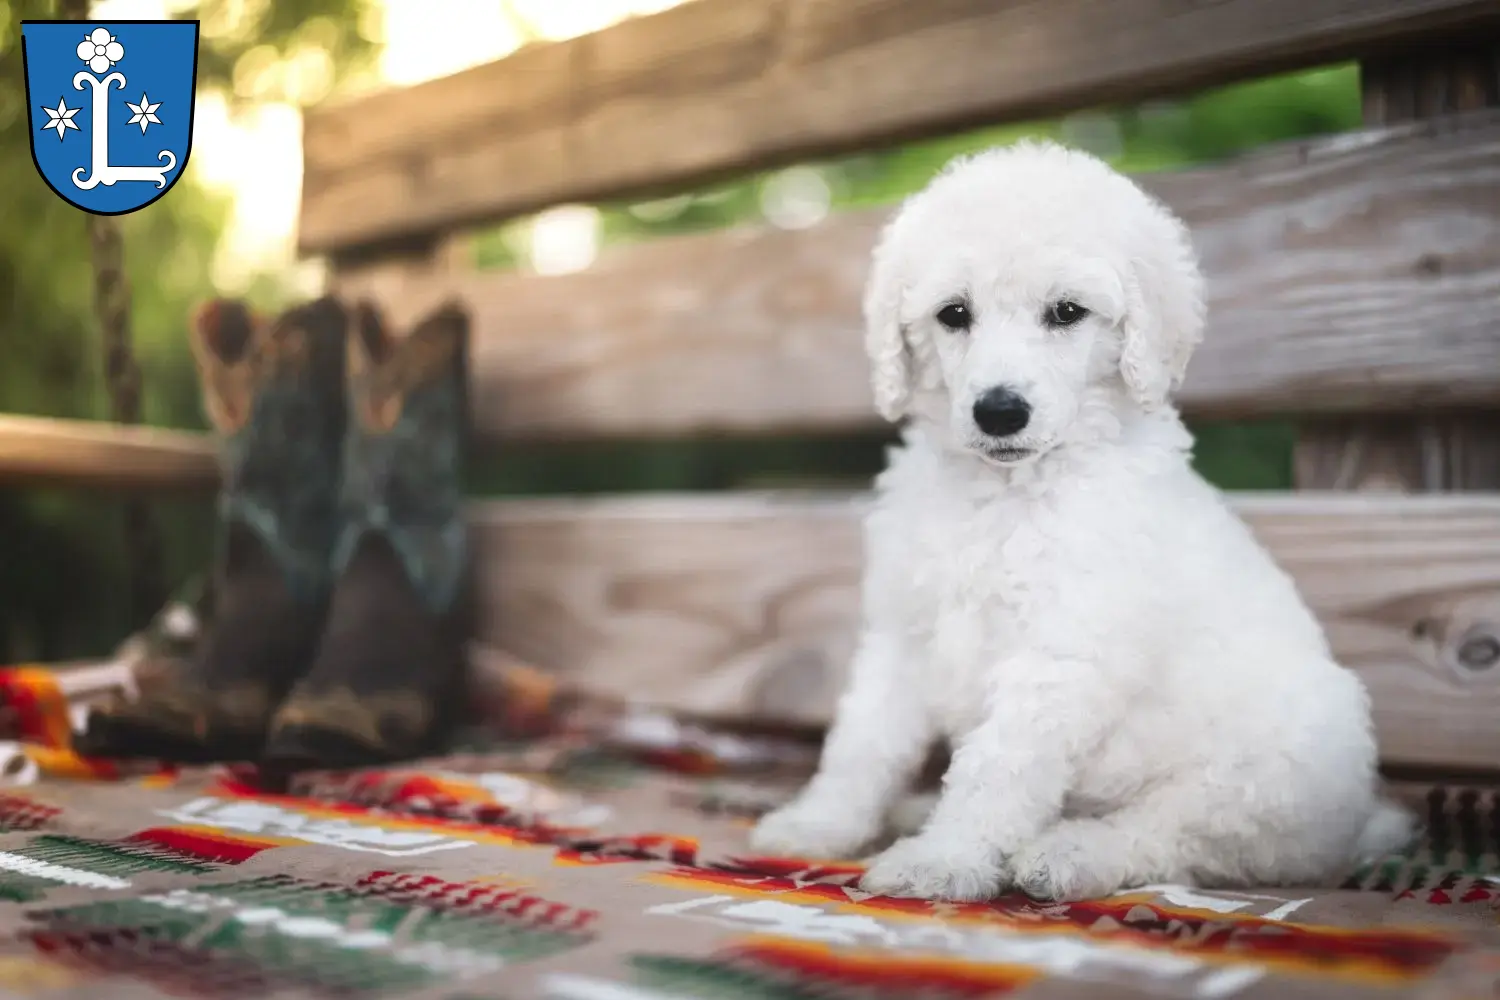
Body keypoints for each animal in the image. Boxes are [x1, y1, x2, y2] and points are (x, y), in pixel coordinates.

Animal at [756, 142, 1410, 905]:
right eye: (954, 313)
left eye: (1067, 311)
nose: (999, 411)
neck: (1007, 492)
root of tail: (1354, 823)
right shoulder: (902, 633)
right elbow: (865, 742)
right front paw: (820, 825)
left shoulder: (1062, 652)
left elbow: (996, 769)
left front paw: (944, 860)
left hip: (1265, 770)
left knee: (1175, 835)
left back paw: (1069, 852)